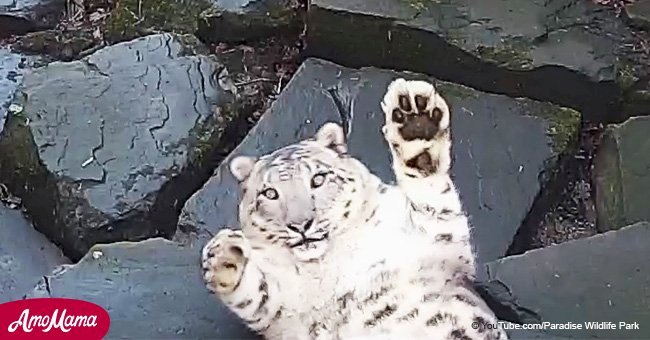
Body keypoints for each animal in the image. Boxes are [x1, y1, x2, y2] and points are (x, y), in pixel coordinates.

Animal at [200, 78, 504, 338]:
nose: (300, 225)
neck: (328, 265)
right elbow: (256, 293)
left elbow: (434, 201)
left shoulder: (439, 248)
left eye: (318, 179)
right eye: (270, 193)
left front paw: (416, 122)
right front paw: (224, 252)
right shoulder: (282, 306)